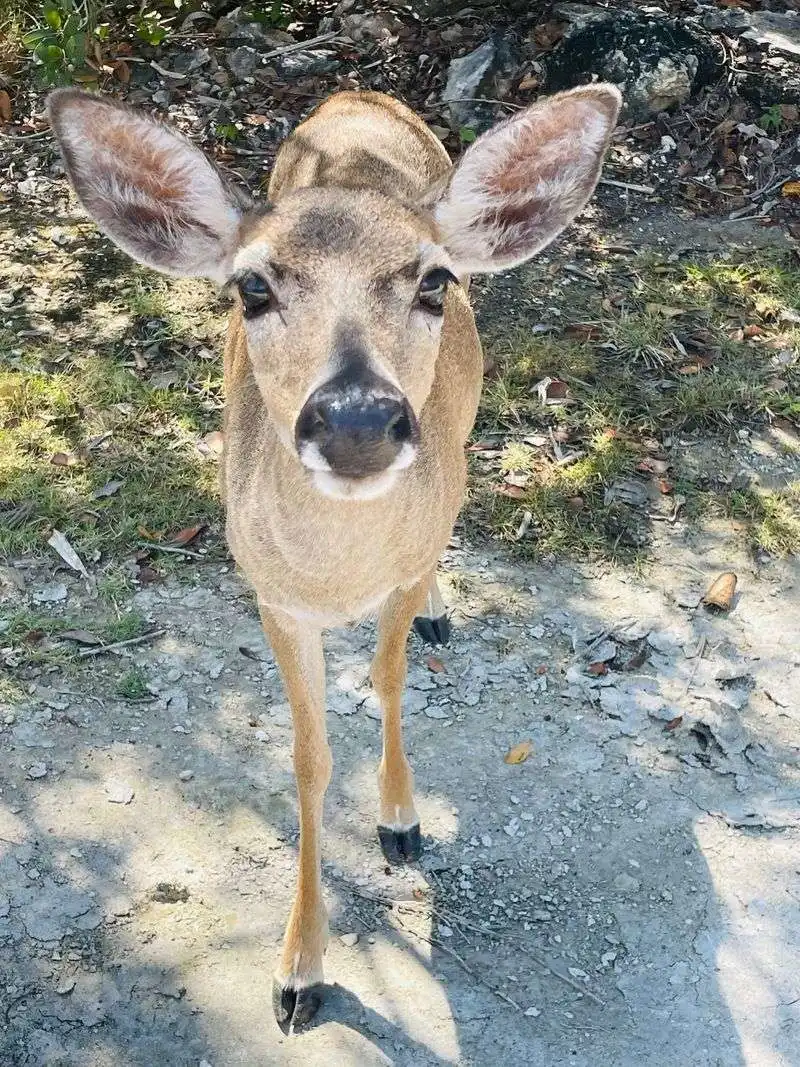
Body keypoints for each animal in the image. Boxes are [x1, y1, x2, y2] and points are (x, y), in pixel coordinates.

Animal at [48, 80, 621, 1032]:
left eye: (433, 280)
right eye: (252, 285)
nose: (356, 419)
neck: (341, 576)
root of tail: (359, 91)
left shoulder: (399, 565)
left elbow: (387, 680)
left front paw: (401, 822)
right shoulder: (273, 597)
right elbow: (308, 761)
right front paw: (297, 973)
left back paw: (439, 613)